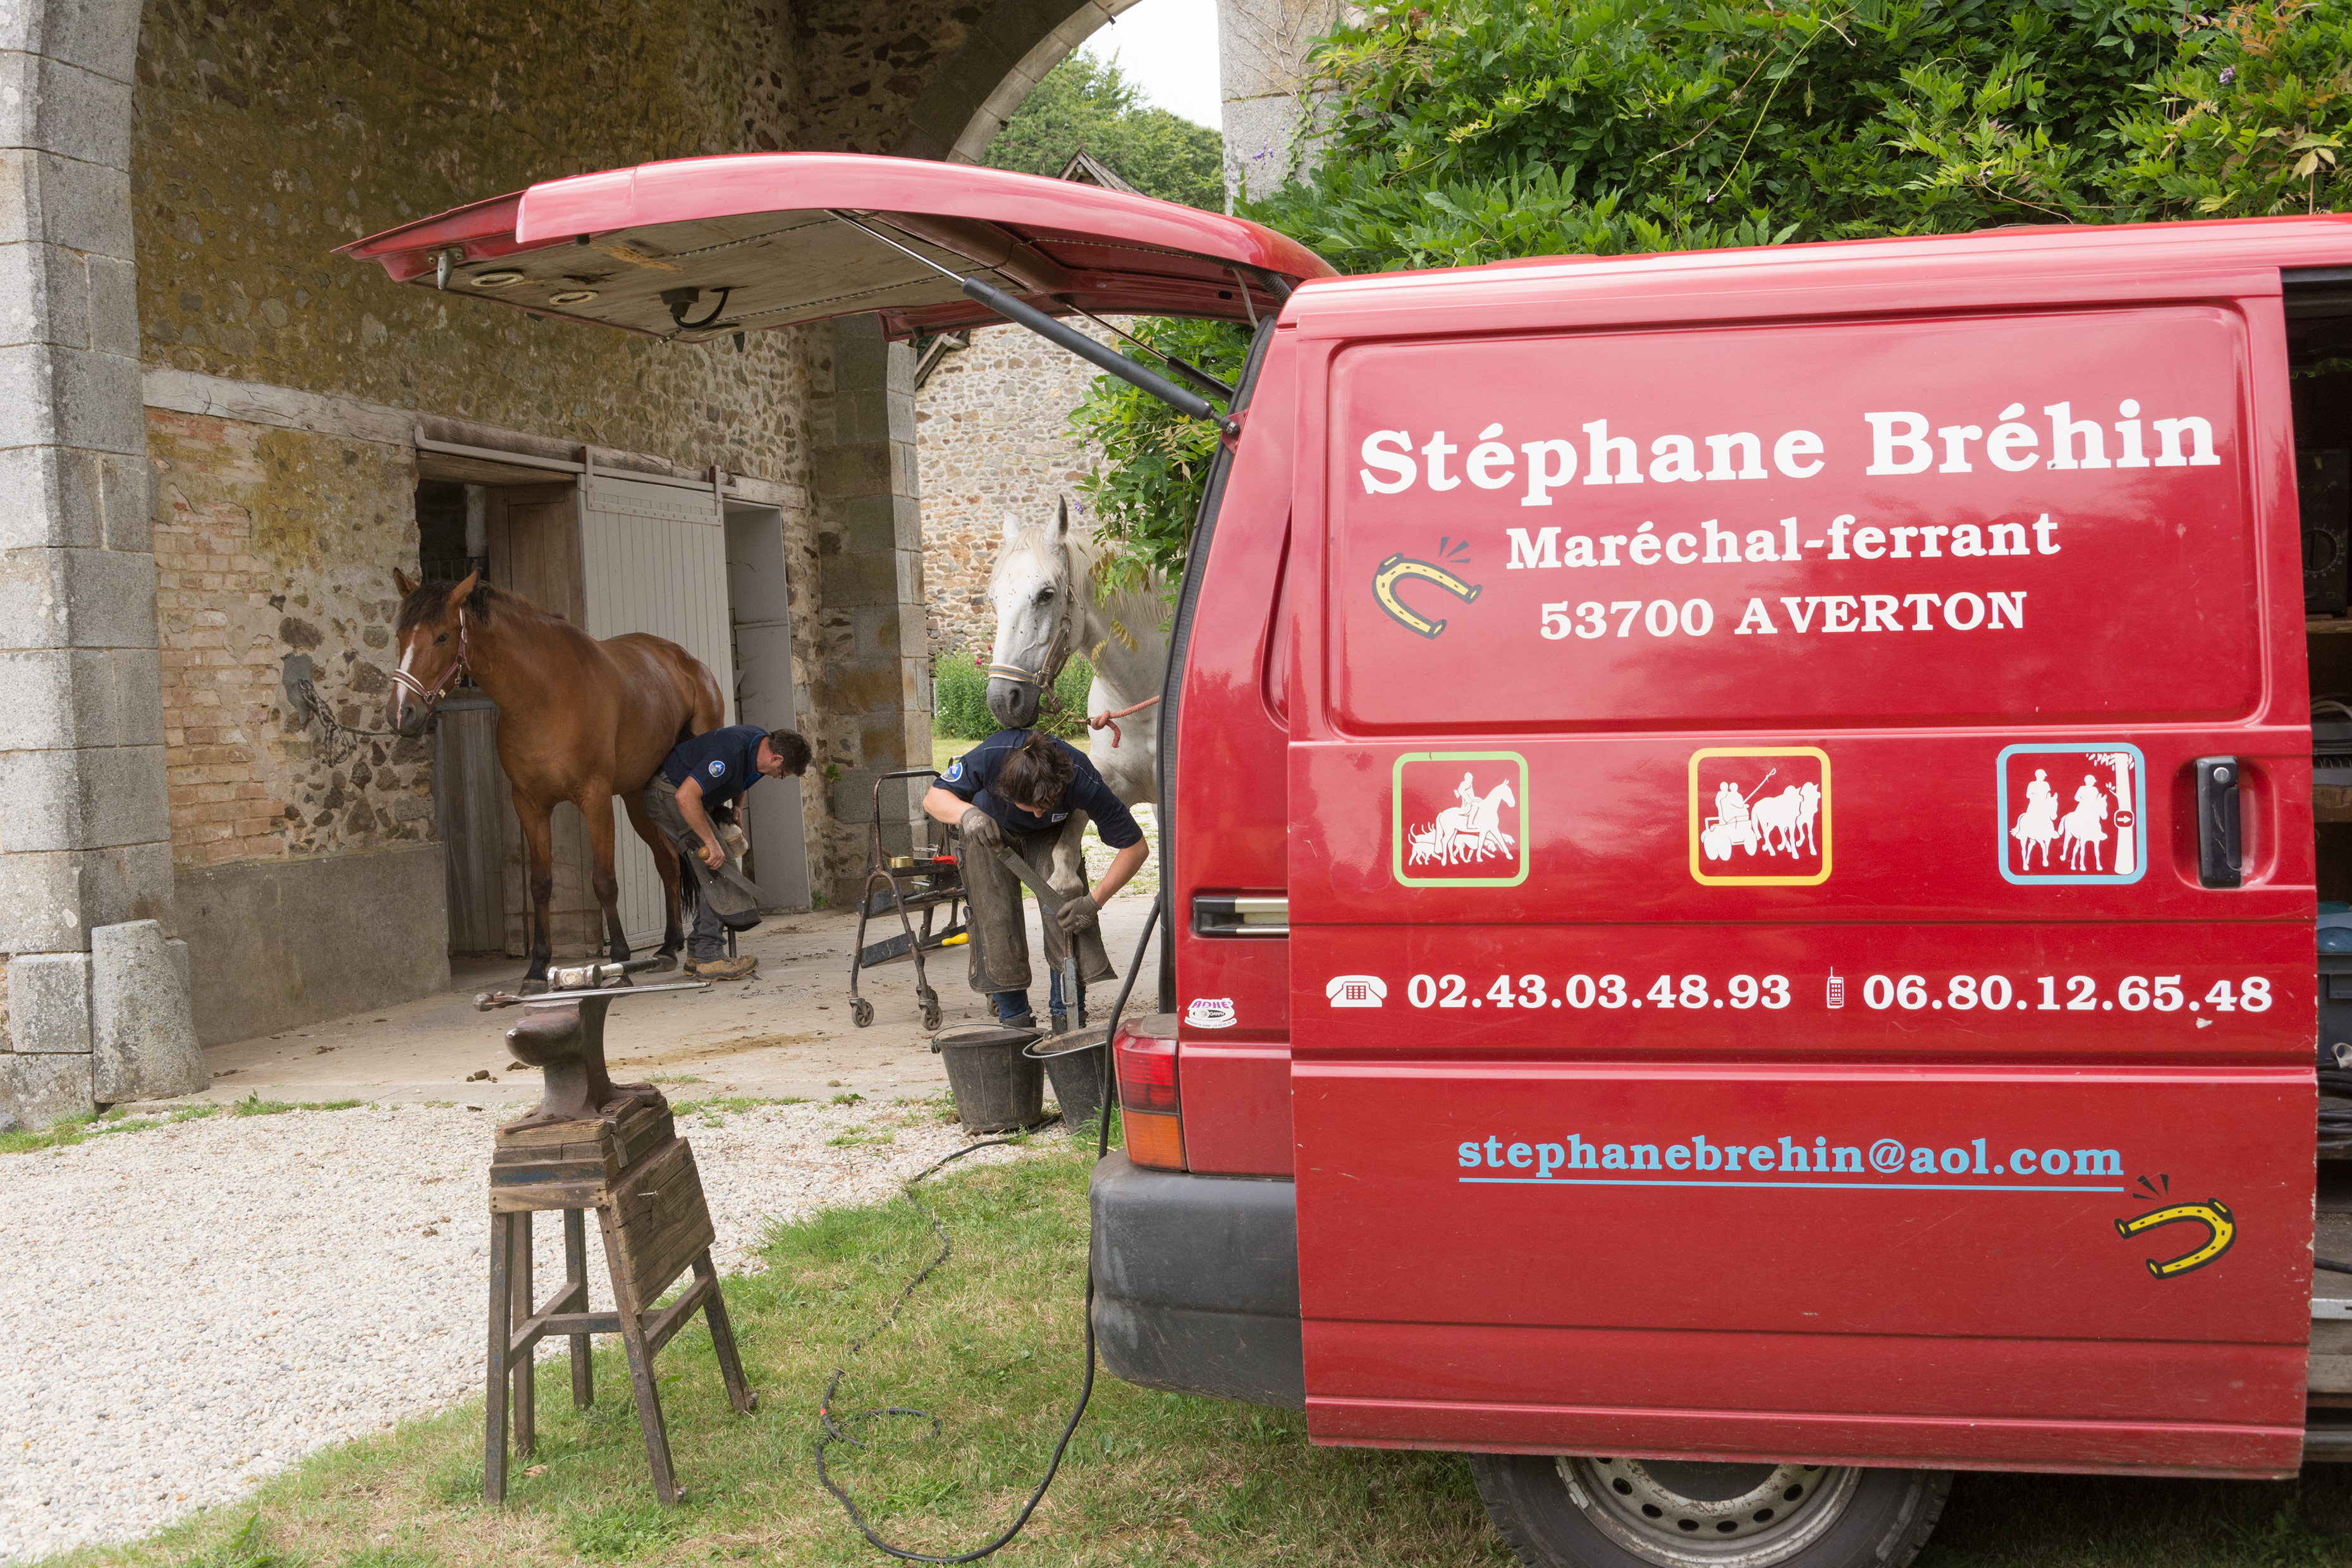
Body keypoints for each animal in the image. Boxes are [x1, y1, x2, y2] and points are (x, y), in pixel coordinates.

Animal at [388, 564, 724, 983]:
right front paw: (537, 967)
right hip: (638, 797)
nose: (402, 714)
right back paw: (667, 946)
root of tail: (688, 663)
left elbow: (604, 882)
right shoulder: (530, 805)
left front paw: (619, 963)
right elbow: (541, 885)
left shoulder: (595, 799)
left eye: (442, 636)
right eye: (400, 636)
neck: (544, 696)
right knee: (669, 862)